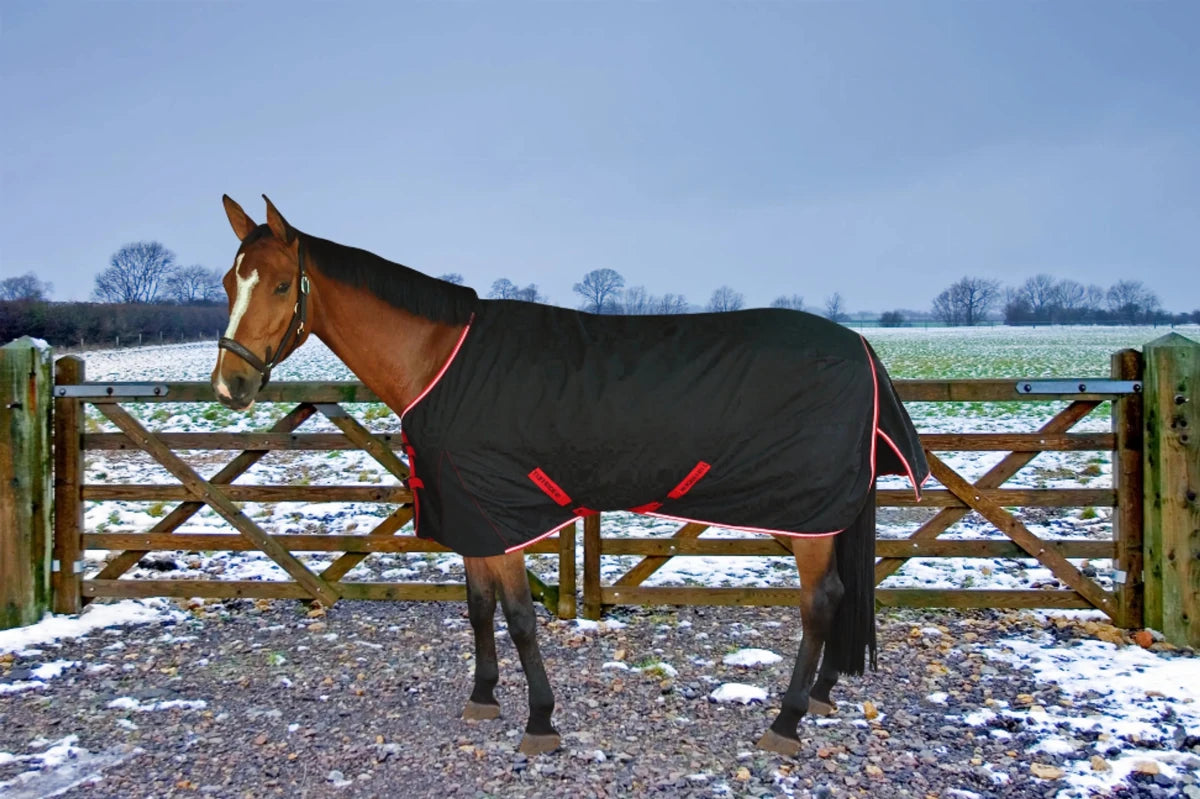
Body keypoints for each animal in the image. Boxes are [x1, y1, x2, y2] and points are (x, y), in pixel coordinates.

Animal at [210, 195, 928, 757]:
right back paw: (824, 695)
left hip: (808, 517)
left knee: (820, 601)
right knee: (840, 596)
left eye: (281, 286)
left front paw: (540, 721)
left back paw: (786, 721)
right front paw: (483, 697)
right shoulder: (470, 514)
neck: (440, 360)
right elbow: (479, 608)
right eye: (226, 283)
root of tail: (861, 347)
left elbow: (520, 617)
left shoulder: (502, 516)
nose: (230, 385)